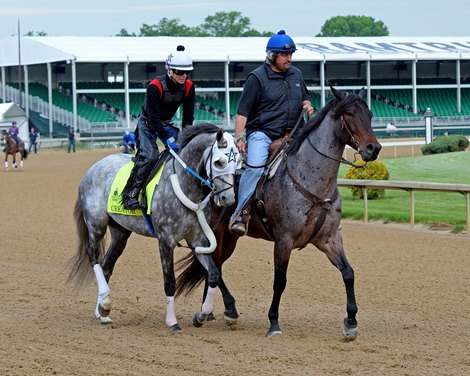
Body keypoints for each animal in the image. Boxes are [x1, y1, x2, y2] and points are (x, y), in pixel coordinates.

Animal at [66, 123, 241, 332]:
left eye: (239, 162)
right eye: (219, 162)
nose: (228, 198)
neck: (183, 183)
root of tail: (92, 169)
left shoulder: (197, 240)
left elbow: (213, 274)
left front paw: (201, 315)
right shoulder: (165, 241)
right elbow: (170, 282)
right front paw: (172, 322)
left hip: (121, 232)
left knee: (106, 265)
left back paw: (103, 310)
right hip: (96, 224)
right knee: (93, 256)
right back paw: (105, 304)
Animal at [175, 86, 382, 340]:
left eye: (370, 114)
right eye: (350, 113)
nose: (374, 148)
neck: (308, 180)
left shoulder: (329, 239)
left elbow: (348, 273)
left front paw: (351, 322)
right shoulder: (284, 240)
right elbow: (279, 281)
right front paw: (273, 322)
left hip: (230, 238)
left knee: (215, 266)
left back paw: (211, 312)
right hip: (214, 232)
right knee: (212, 266)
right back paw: (229, 310)